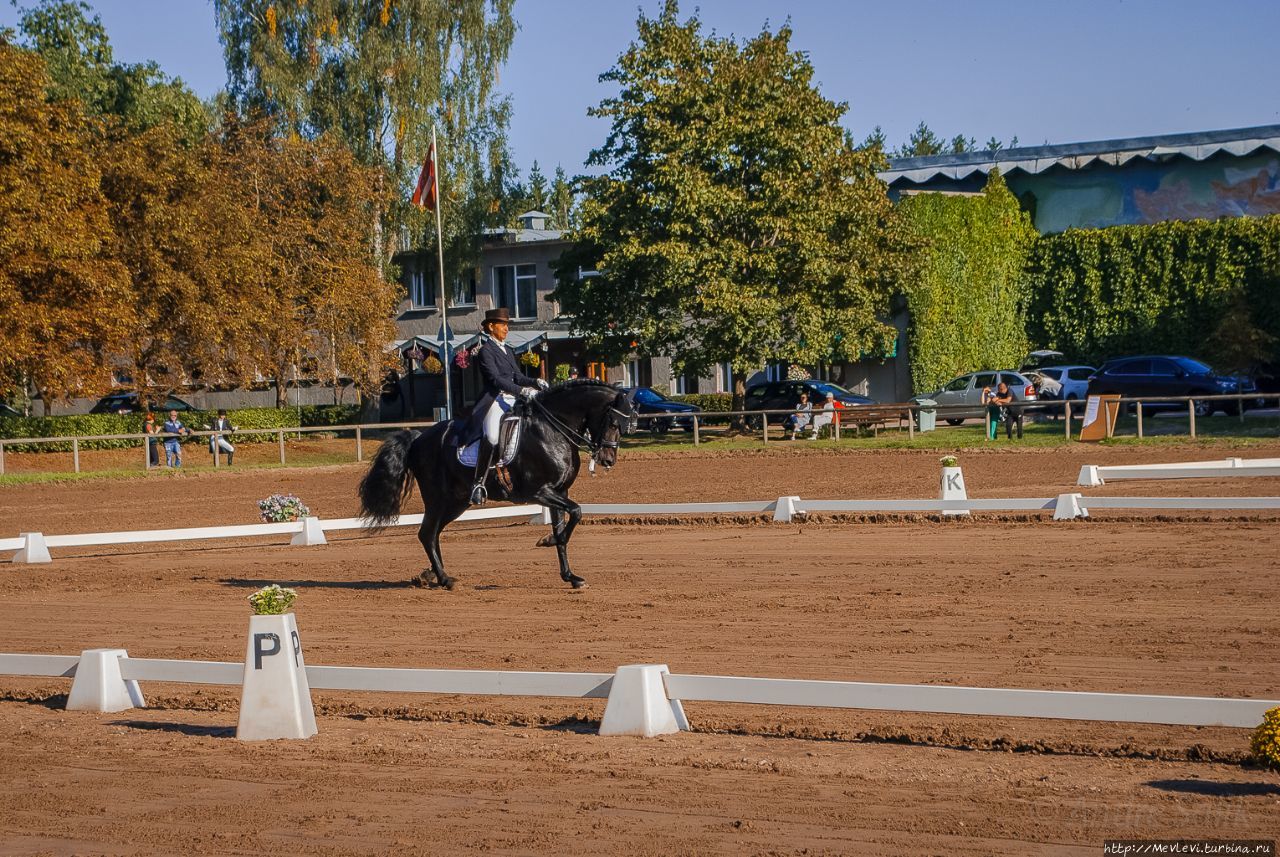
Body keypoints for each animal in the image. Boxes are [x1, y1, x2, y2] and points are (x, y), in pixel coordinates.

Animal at [355, 383, 634, 590]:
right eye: (612, 422)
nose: (608, 460)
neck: (552, 429)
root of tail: (419, 437)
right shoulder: (539, 492)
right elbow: (575, 513)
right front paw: (547, 540)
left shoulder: (559, 491)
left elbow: (565, 526)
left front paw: (570, 576)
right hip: (437, 498)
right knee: (427, 533)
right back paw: (443, 579)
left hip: (456, 501)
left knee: (432, 534)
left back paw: (434, 575)